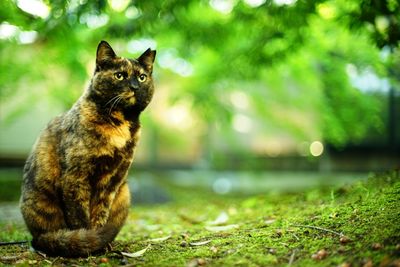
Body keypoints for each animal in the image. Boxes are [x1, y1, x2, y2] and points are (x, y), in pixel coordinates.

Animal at [19, 40, 156, 258]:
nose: (135, 87)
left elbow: (100, 212)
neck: (119, 124)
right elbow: (80, 217)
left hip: (124, 192)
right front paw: (87, 244)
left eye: (142, 77)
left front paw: (100, 242)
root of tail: (36, 236)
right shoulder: (76, 178)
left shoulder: (112, 180)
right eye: (120, 75)